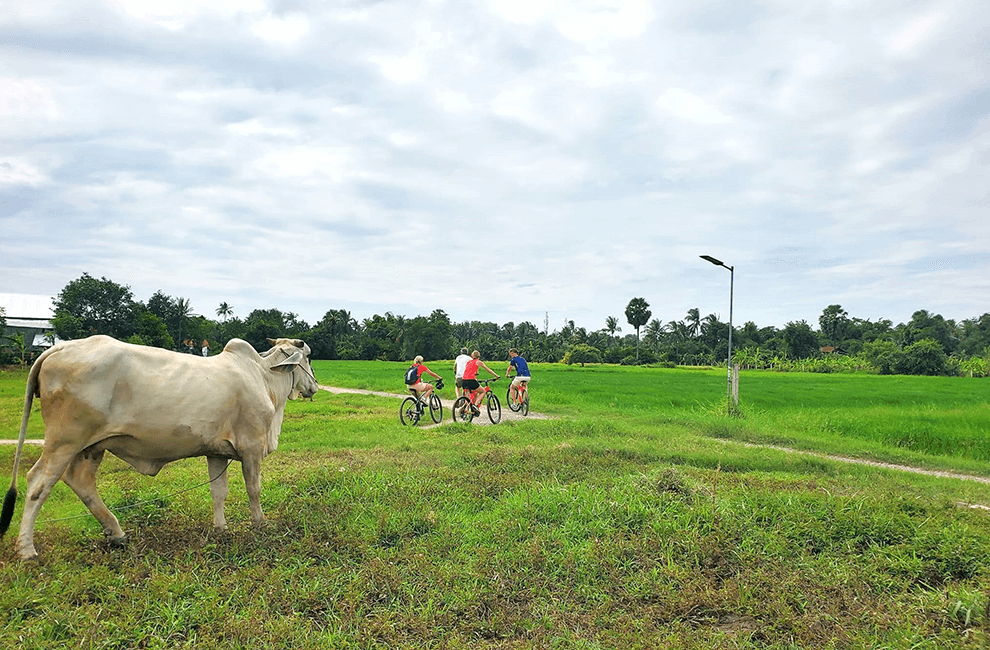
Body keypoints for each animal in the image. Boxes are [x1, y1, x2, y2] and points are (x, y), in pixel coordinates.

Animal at [0, 334, 318, 556]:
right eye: (308, 357)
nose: (314, 386)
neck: (263, 377)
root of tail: (60, 348)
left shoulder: (216, 451)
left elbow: (219, 492)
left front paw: (221, 528)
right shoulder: (252, 447)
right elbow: (254, 489)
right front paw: (260, 524)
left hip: (92, 446)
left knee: (81, 481)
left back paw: (116, 533)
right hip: (64, 441)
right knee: (38, 482)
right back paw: (27, 550)